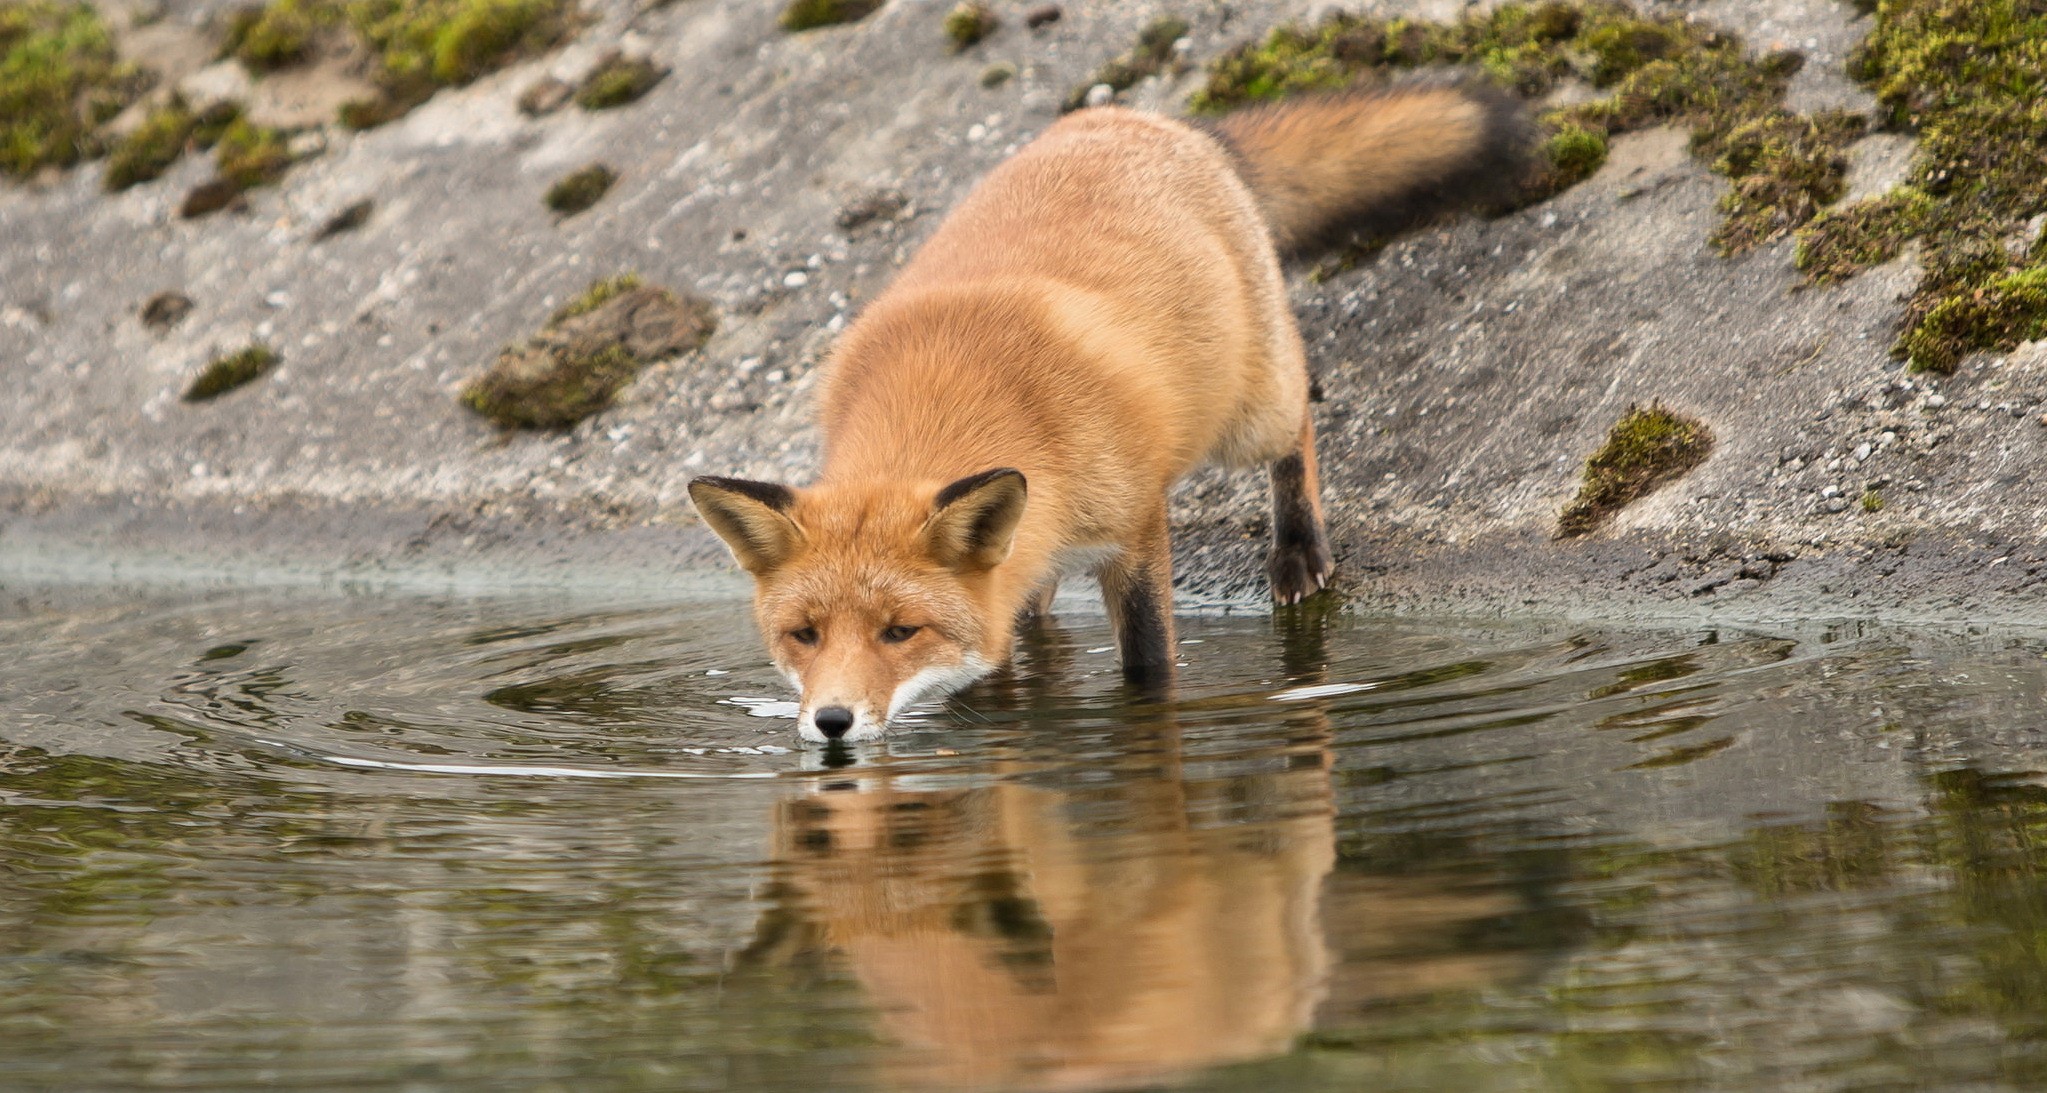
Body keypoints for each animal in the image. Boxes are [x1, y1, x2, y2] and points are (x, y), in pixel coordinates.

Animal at [690, 75, 1531, 742]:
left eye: (900, 631)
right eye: (802, 634)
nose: (831, 723)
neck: (944, 394)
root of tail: (1153, 120)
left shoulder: (1134, 525)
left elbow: (1149, 659)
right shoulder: (1005, 578)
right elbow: (994, 662)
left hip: (1249, 414)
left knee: (1298, 421)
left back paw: (1298, 549)